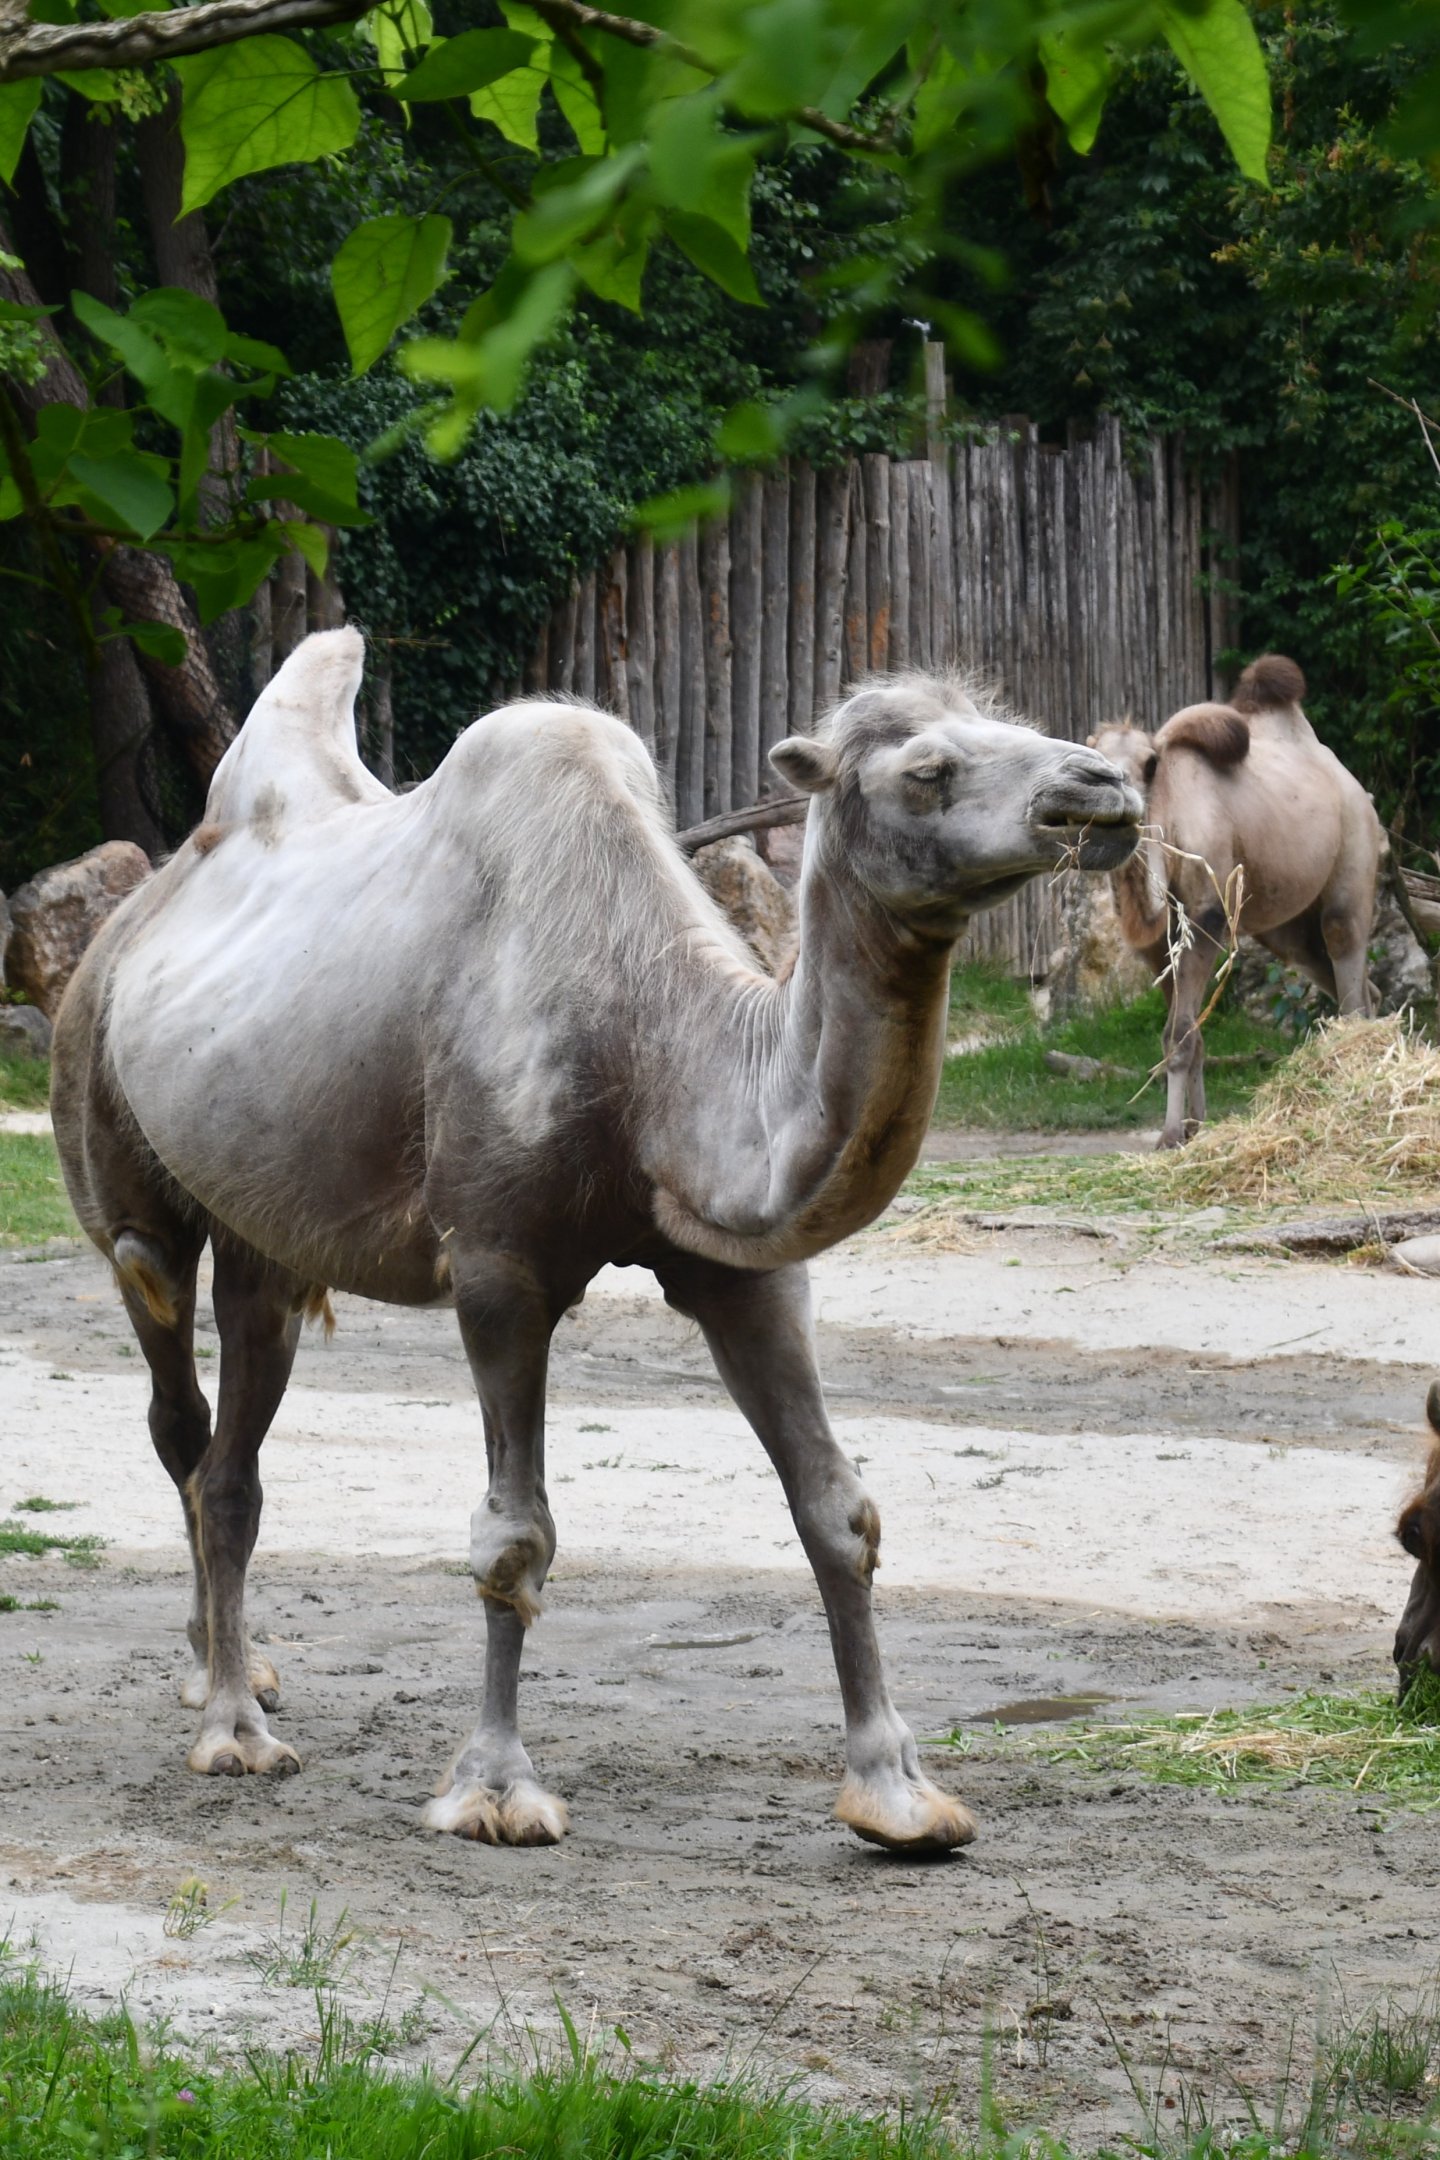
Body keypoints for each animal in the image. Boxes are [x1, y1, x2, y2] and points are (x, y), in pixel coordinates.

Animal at [51, 629, 1141, 1853]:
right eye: (928, 770)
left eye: (1020, 725)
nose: (1102, 788)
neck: (650, 1049)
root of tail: (141, 907)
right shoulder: (498, 1266)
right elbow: (514, 1535)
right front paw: (494, 1791)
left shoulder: (742, 1270)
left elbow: (837, 1510)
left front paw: (899, 1795)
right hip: (113, 1156)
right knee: (173, 1394)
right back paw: (232, 1725)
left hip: (264, 1234)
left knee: (229, 1452)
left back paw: (236, 1683)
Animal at [1090, 655, 1382, 1148]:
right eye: (1090, 754)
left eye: (1149, 764)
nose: (1115, 795)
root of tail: (1358, 790)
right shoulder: (1159, 945)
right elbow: (1185, 1034)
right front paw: (1195, 1126)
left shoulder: (1205, 918)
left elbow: (1180, 1037)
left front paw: (1171, 1134)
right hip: (1288, 930)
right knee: (1363, 989)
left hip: (1353, 865)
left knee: (1348, 969)